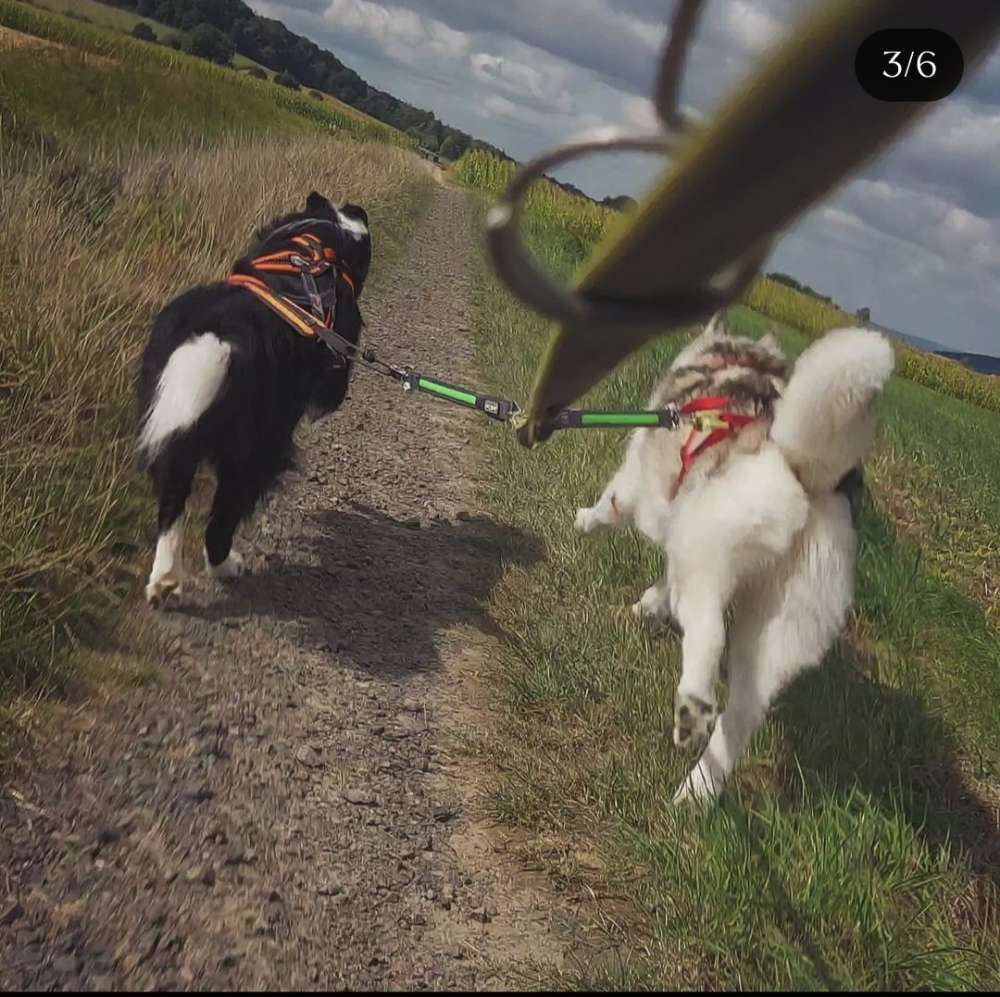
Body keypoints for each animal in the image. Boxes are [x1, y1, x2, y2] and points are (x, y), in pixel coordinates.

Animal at [139, 191, 374, 604]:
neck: (321, 242)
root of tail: (222, 336)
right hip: (253, 450)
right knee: (221, 519)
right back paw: (226, 565)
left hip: (172, 427)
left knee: (172, 505)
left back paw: (165, 581)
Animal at [576, 316, 896, 804]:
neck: (736, 359)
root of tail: (804, 470)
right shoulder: (680, 527)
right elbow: (663, 583)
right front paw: (648, 605)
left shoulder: (635, 485)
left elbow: (607, 509)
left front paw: (582, 522)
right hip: (778, 628)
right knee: (742, 717)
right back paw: (697, 793)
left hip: (708, 560)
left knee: (708, 635)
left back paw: (692, 710)